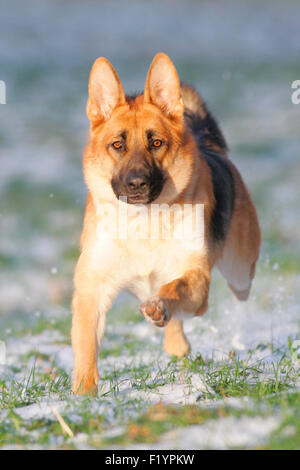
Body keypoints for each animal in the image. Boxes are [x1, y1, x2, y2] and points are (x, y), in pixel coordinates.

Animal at [71, 53, 260, 394]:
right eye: (117, 145)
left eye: (156, 143)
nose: (136, 184)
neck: (143, 223)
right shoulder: (91, 290)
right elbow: (86, 347)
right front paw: (83, 395)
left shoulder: (196, 278)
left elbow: (175, 286)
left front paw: (160, 305)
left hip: (240, 273)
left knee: (235, 289)